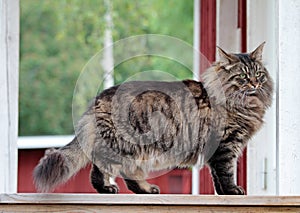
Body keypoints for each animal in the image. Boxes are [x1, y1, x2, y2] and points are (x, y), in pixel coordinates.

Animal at [34, 42, 274, 196]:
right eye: (242, 76)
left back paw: (141, 189)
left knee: (124, 172)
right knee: (103, 165)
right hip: (124, 144)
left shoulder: (219, 148)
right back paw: (109, 188)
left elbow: (217, 175)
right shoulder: (226, 144)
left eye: (258, 74)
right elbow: (226, 172)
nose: (255, 83)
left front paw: (224, 193)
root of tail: (101, 96)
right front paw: (233, 191)